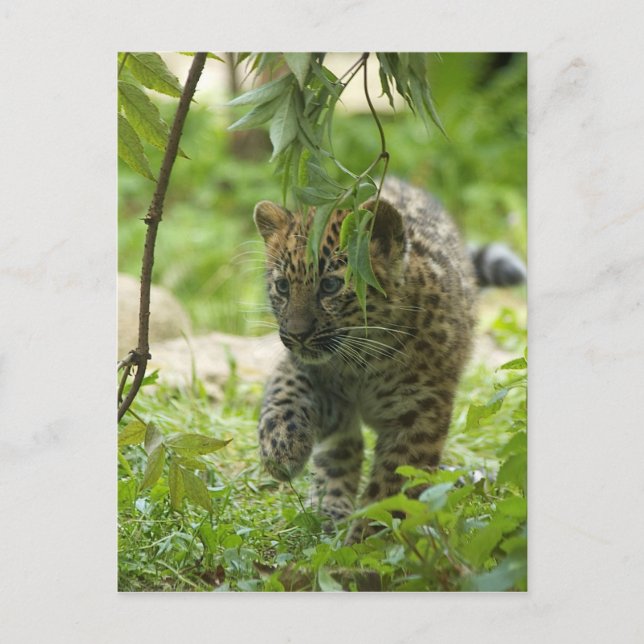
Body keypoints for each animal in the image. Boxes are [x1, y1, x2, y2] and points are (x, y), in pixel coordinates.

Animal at [253, 177, 525, 541]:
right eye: (282, 286)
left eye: (330, 285)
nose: (296, 335)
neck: (360, 361)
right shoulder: (311, 374)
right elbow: (285, 391)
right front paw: (281, 449)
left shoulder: (419, 414)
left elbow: (392, 484)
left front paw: (365, 540)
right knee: (344, 451)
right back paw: (330, 511)